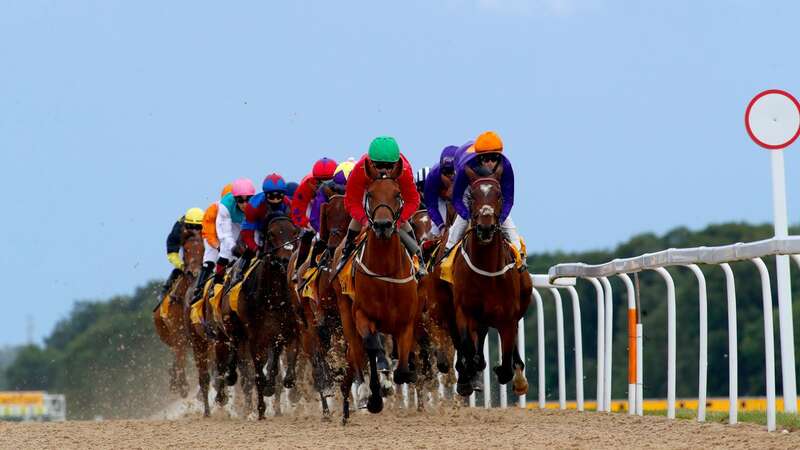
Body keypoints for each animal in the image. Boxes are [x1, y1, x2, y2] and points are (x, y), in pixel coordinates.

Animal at [152, 227, 203, 400]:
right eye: (185, 249)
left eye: (204, 248)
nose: (194, 272)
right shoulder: (179, 336)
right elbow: (180, 361)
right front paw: (181, 385)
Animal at [332, 164, 422, 422]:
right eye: (370, 194)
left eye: (397, 194)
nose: (383, 225)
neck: (386, 271)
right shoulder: (363, 315)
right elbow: (372, 347)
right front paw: (374, 396)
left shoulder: (406, 323)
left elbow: (402, 368)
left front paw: (395, 378)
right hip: (345, 312)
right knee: (358, 350)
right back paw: (365, 390)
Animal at [450, 176, 532, 398]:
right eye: (471, 196)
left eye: (499, 195)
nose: (485, 228)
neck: (486, 274)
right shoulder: (463, 311)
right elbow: (468, 347)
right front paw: (470, 372)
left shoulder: (507, 318)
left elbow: (505, 364)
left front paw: (504, 371)